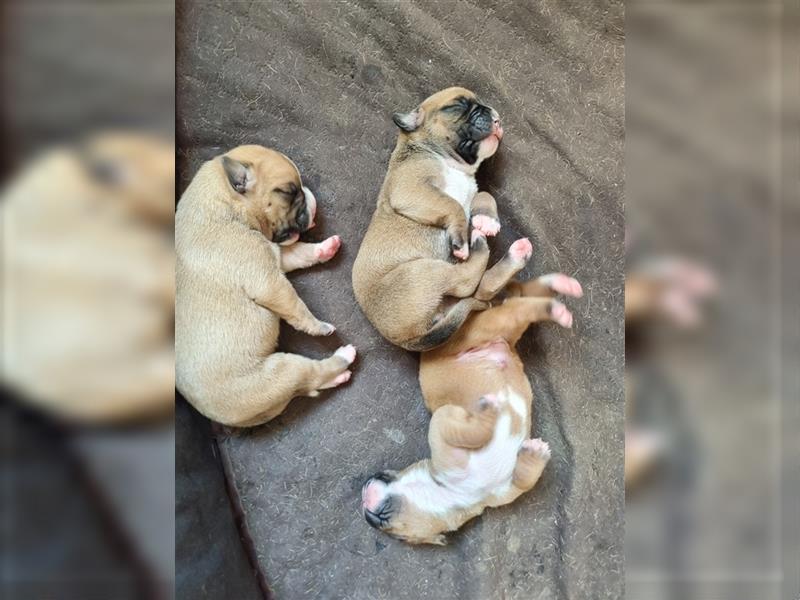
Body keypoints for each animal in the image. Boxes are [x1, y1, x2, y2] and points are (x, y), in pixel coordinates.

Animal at [177, 145, 354, 426]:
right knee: (310, 376)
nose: (309, 194)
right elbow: (297, 306)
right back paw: (343, 357)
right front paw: (319, 327)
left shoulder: (275, 256)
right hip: (280, 373)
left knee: (308, 386)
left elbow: (299, 252)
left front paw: (324, 248)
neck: (227, 206)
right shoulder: (269, 281)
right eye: (289, 192)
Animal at [354, 89, 528, 352]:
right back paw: (479, 244)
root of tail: (410, 340)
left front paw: (486, 219)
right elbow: (452, 204)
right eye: (457, 106)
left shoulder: (473, 191)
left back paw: (514, 252)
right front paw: (462, 237)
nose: (495, 117)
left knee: (480, 290)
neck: (450, 163)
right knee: (466, 282)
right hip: (421, 274)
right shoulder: (412, 188)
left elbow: (485, 196)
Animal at [360, 270, 580, 548]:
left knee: (524, 304)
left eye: (385, 526)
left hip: (482, 328)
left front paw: (488, 411)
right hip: (501, 326)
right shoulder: (506, 491)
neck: (455, 491)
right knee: (523, 299)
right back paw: (559, 285)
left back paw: (556, 302)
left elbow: (466, 430)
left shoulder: (442, 425)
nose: (364, 499)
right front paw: (535, 454)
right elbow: (524, 480)